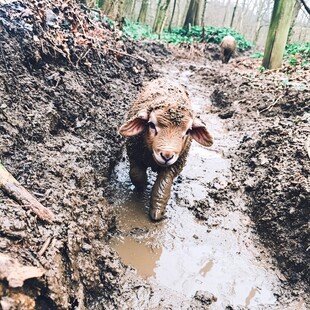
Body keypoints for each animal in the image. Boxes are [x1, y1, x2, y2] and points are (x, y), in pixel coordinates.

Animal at [118, 78, 213, 222]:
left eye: (188, 131)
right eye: (151, 125)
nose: (167, 155)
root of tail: (167, 79)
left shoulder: (175, 164)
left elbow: (163, 186)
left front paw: (157, 212)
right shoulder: (134, 154)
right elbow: (136, 174)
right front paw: (142, 187)